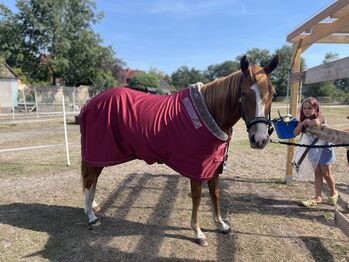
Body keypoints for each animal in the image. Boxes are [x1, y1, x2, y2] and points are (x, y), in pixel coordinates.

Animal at [79, 54, 278, 246]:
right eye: (244, 93)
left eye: (272, 93)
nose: (259, 139)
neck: (210, 112)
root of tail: (89, 103)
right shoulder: (196, 169)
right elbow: (197, 198)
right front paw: (198, 232)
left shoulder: (214, 166)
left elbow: (215, 194)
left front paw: (221, 224)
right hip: (97, 152)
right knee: (89, 180)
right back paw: (91, 216)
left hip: (101, 156)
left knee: (93, 179)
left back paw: (93, 206)